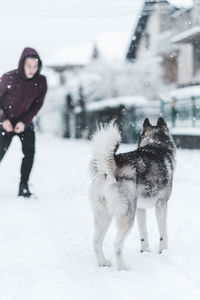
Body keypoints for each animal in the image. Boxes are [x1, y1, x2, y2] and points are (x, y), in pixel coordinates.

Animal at [90, 117, 176, 270]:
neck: (155, 144)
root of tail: (110, 168)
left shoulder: (140, 208)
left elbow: (143, 233)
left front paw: (145, 251)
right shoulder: (162, 204)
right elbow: (163, 233)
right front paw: (163, 251)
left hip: (105, 215)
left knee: (96, 242)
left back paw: (103, 263)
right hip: (127, 216)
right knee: (117, 245)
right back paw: (123, 268)